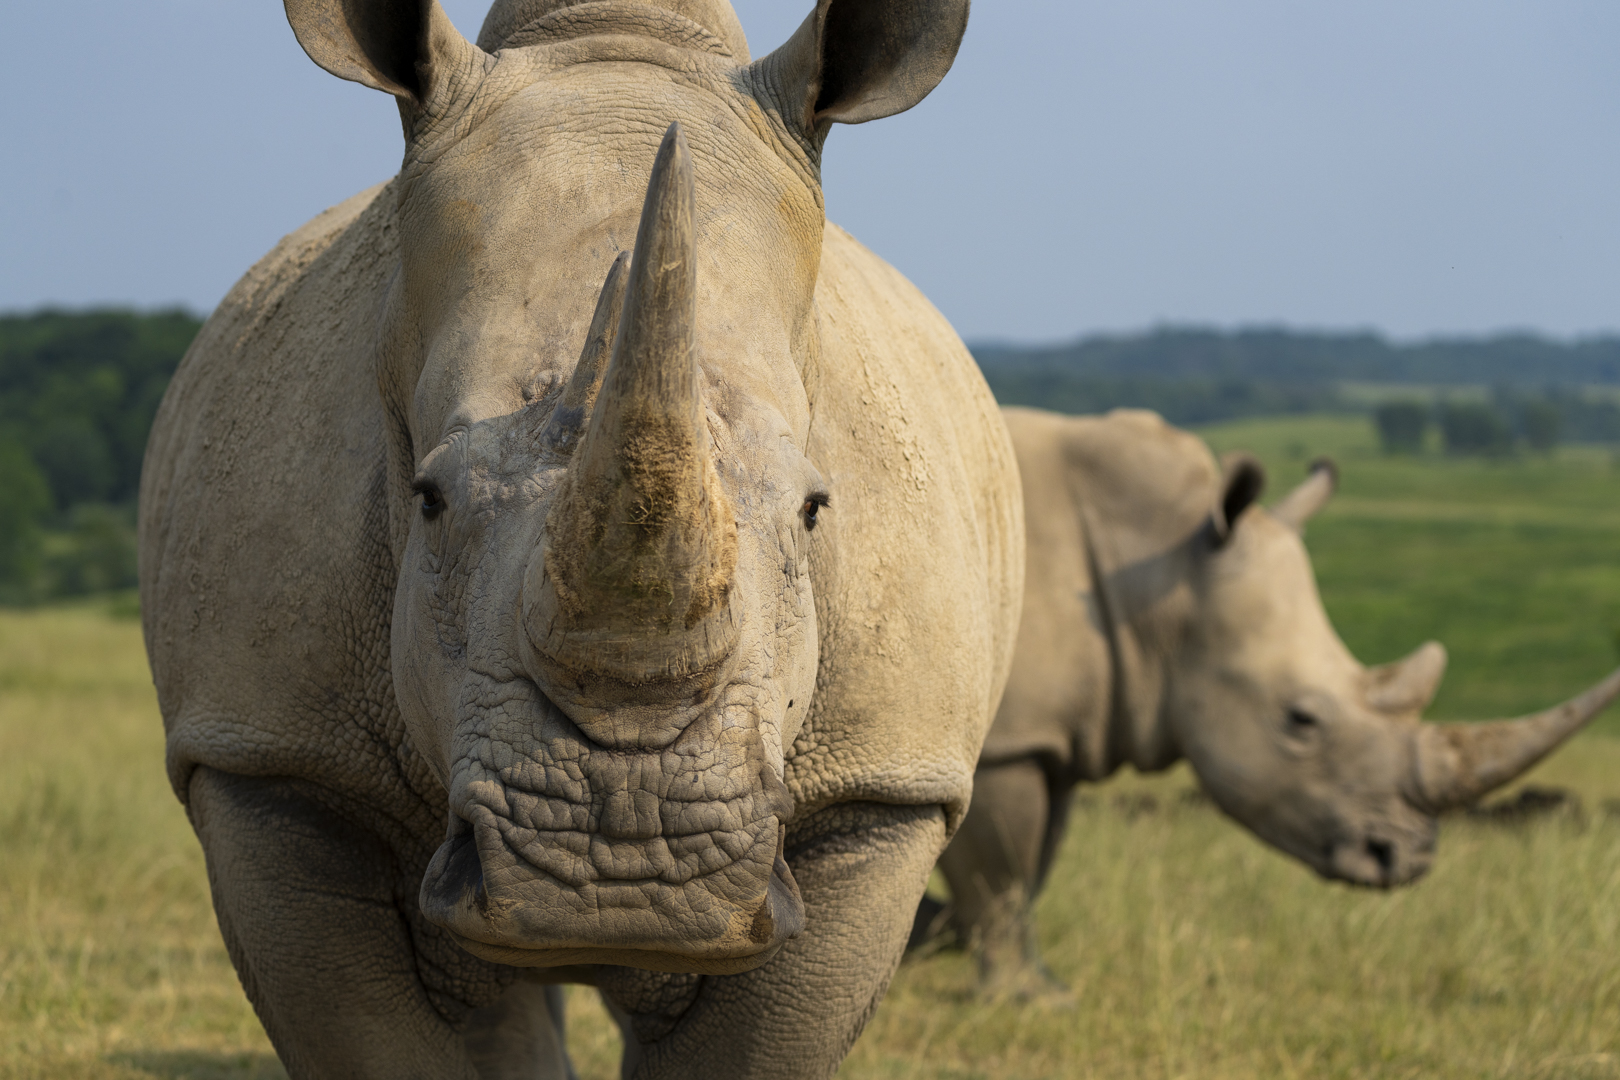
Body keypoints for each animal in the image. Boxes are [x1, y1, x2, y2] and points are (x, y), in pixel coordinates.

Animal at [137, 0, 1023, 1075]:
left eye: (816, 511)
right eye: (428, 500)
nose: (623, 870)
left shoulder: (885, 786)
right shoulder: (267, 756)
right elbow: (373, 1038)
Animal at [918, 405, 1620, 997]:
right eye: (1300, 720)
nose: (1409, 859)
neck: (1156, 573)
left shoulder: (1058, 729)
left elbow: (1033, 862)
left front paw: (990, 961)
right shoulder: (1008, 742)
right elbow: (1003, 876)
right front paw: (1026, 998)